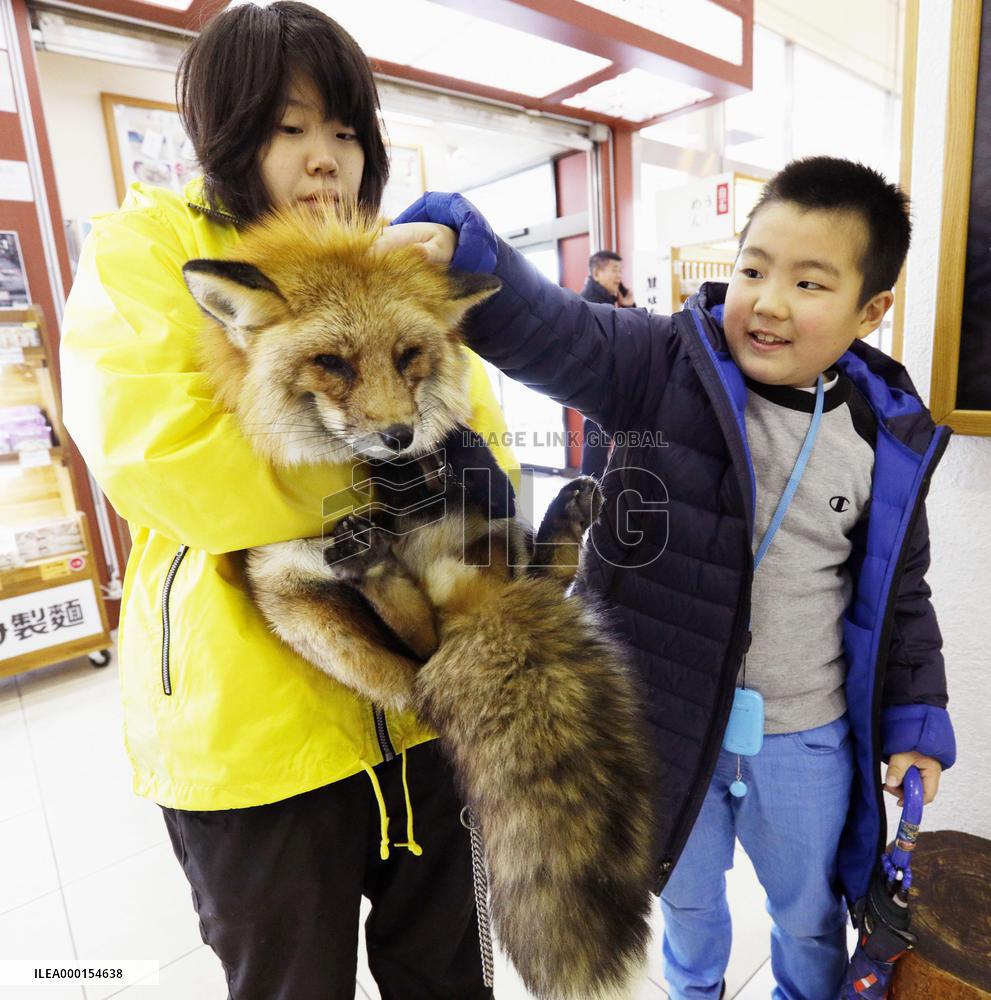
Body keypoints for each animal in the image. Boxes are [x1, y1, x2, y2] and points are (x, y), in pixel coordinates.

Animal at [182, 206, 654, 1000]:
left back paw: (560, 515)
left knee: (526, 575)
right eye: (332, 363)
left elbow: (464, 449)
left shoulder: (459, 463)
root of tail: (476, 621)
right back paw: (378, 566)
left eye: (408, 355)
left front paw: (439, 452)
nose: (398, 438)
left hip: (486, 540)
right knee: (415, 646)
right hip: (301, 599)